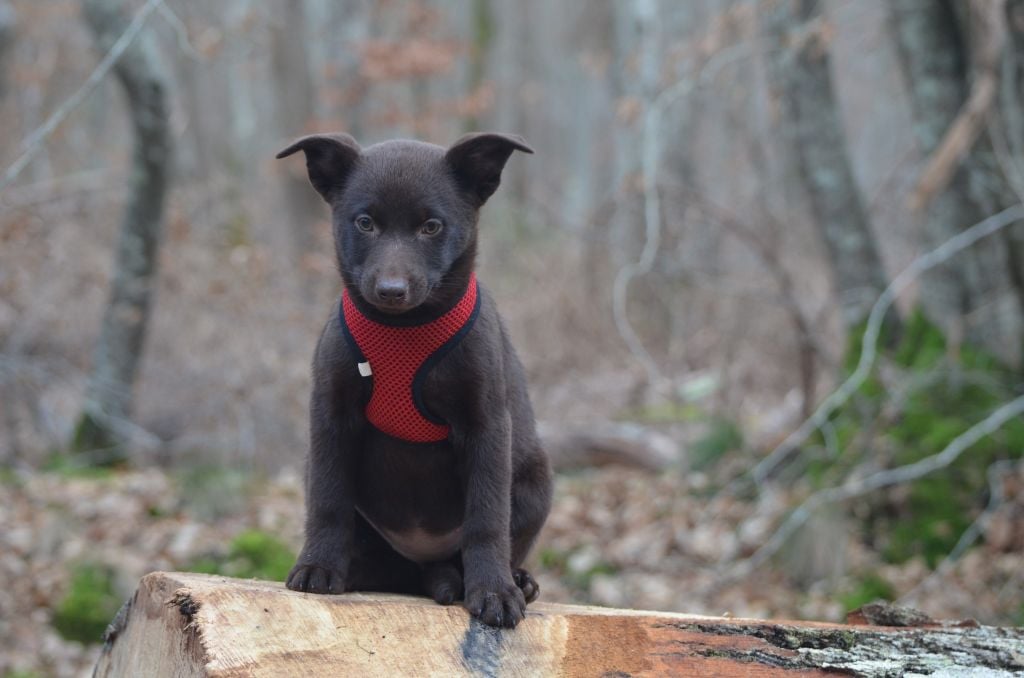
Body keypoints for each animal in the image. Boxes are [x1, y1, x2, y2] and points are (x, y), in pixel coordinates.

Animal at [274, 134, 552, 630]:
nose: (391, 290)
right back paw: (356, 570)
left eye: (431, 226)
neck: (404, 330)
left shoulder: (487, 423)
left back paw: (516, 581)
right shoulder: (330, 413)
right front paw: (318, 566)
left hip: (537, 480)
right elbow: (328, 498)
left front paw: (494, 591)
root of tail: (426, 564)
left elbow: (487, 517)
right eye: (364, 222)